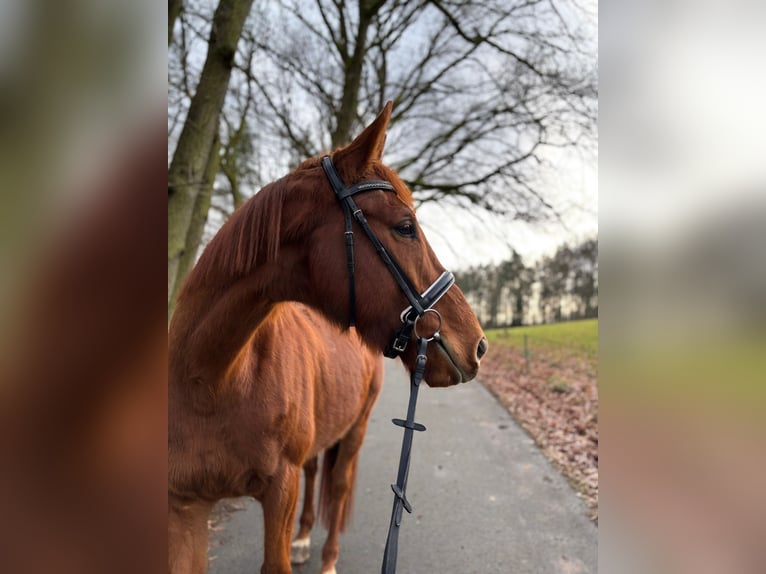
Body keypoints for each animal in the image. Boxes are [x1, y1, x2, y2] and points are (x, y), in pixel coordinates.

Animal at [171, 101, 488, 572]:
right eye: (406, 227)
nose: (478, 344)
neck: (210, 379)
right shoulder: (185, 508)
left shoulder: (279, 491)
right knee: (316, 470)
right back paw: (304, 537)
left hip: (354, 432)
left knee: (336, 490)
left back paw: (327, 559)